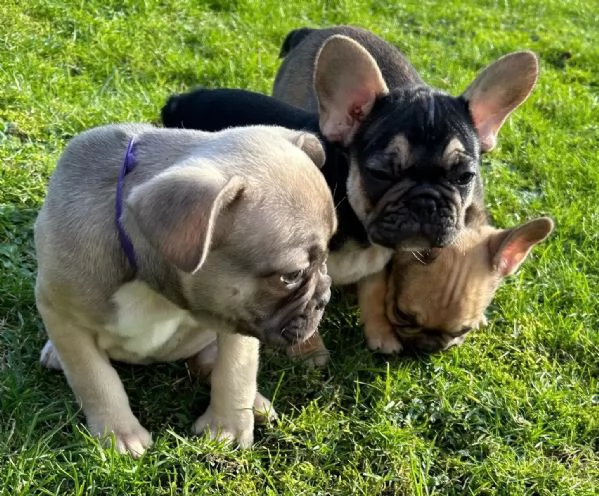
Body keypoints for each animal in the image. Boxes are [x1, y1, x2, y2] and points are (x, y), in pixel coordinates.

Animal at [35, 122, 338, 456]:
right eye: (292, 275)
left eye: (327, 256)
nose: (324, 298)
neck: (152, 286)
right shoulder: (62, 316)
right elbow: (95, 379)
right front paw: (118, 433)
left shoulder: (235, 318)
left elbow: (236, 371)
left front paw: (228, 427)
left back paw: (255, 404)